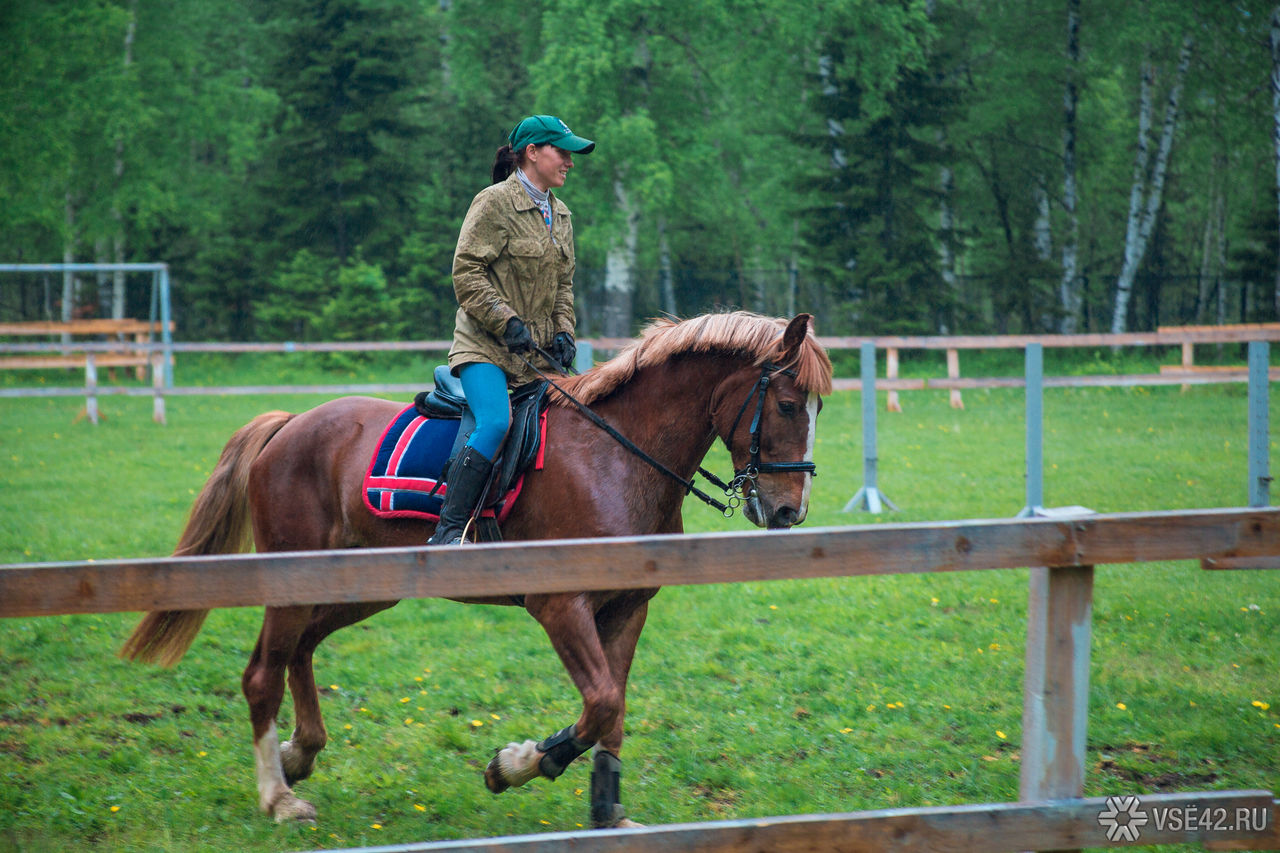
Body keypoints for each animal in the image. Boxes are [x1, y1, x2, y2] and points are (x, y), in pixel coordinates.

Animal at [120, 311, 834, 824]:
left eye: (817, 408)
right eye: (788, 405)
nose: (788, 510)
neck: (617, 455)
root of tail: (291, 423)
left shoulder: (628, 605)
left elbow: (614, 711)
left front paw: (606, 811)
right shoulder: (561, 606)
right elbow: (601, 701)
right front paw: (515, 765)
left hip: (360, 588)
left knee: (302, 649)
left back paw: (301, 753)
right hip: (292, 579)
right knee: (262, 674)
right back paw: (279, 797)